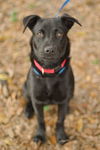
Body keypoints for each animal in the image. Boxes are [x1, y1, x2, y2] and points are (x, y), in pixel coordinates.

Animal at [22, 13, 81, 144]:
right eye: (39, 33)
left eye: (59, 34)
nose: (49, 50)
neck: (49, 72)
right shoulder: (37, 101)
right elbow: (40, 120)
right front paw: (40, 135)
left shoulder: (63, 100)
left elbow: (60, 120)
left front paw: (61, 136)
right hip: (26, 87)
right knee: (28, 100)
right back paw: (28, 110)